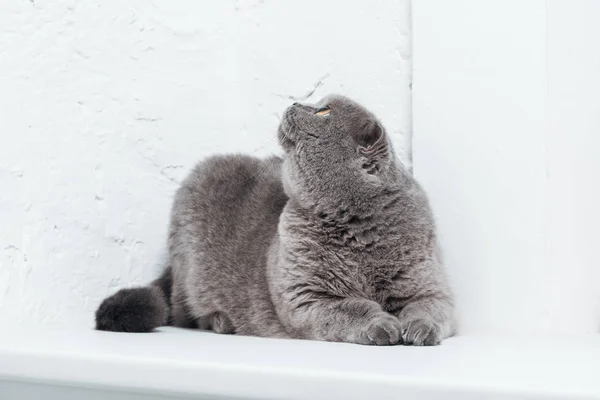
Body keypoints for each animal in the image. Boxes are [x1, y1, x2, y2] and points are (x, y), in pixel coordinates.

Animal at [97, 95, 454, 346]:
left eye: (324, 111)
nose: (295, 102)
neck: (356, 229)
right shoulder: (308, 296)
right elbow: (352, 308)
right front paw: (381, 325)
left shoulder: (430, 288)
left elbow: (430, 309)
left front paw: (419, 329)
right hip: (190, 252)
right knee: (185, 313)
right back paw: (222, 322)